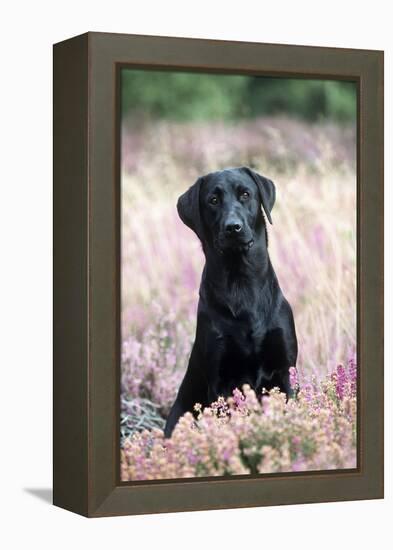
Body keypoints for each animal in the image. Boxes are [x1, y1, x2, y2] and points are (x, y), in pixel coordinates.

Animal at [163, 168, 298, 440]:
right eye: (213, 200)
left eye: (245, 194)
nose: (233, 227)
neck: (241, 283)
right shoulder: (221, 381)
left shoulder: (285, 369)